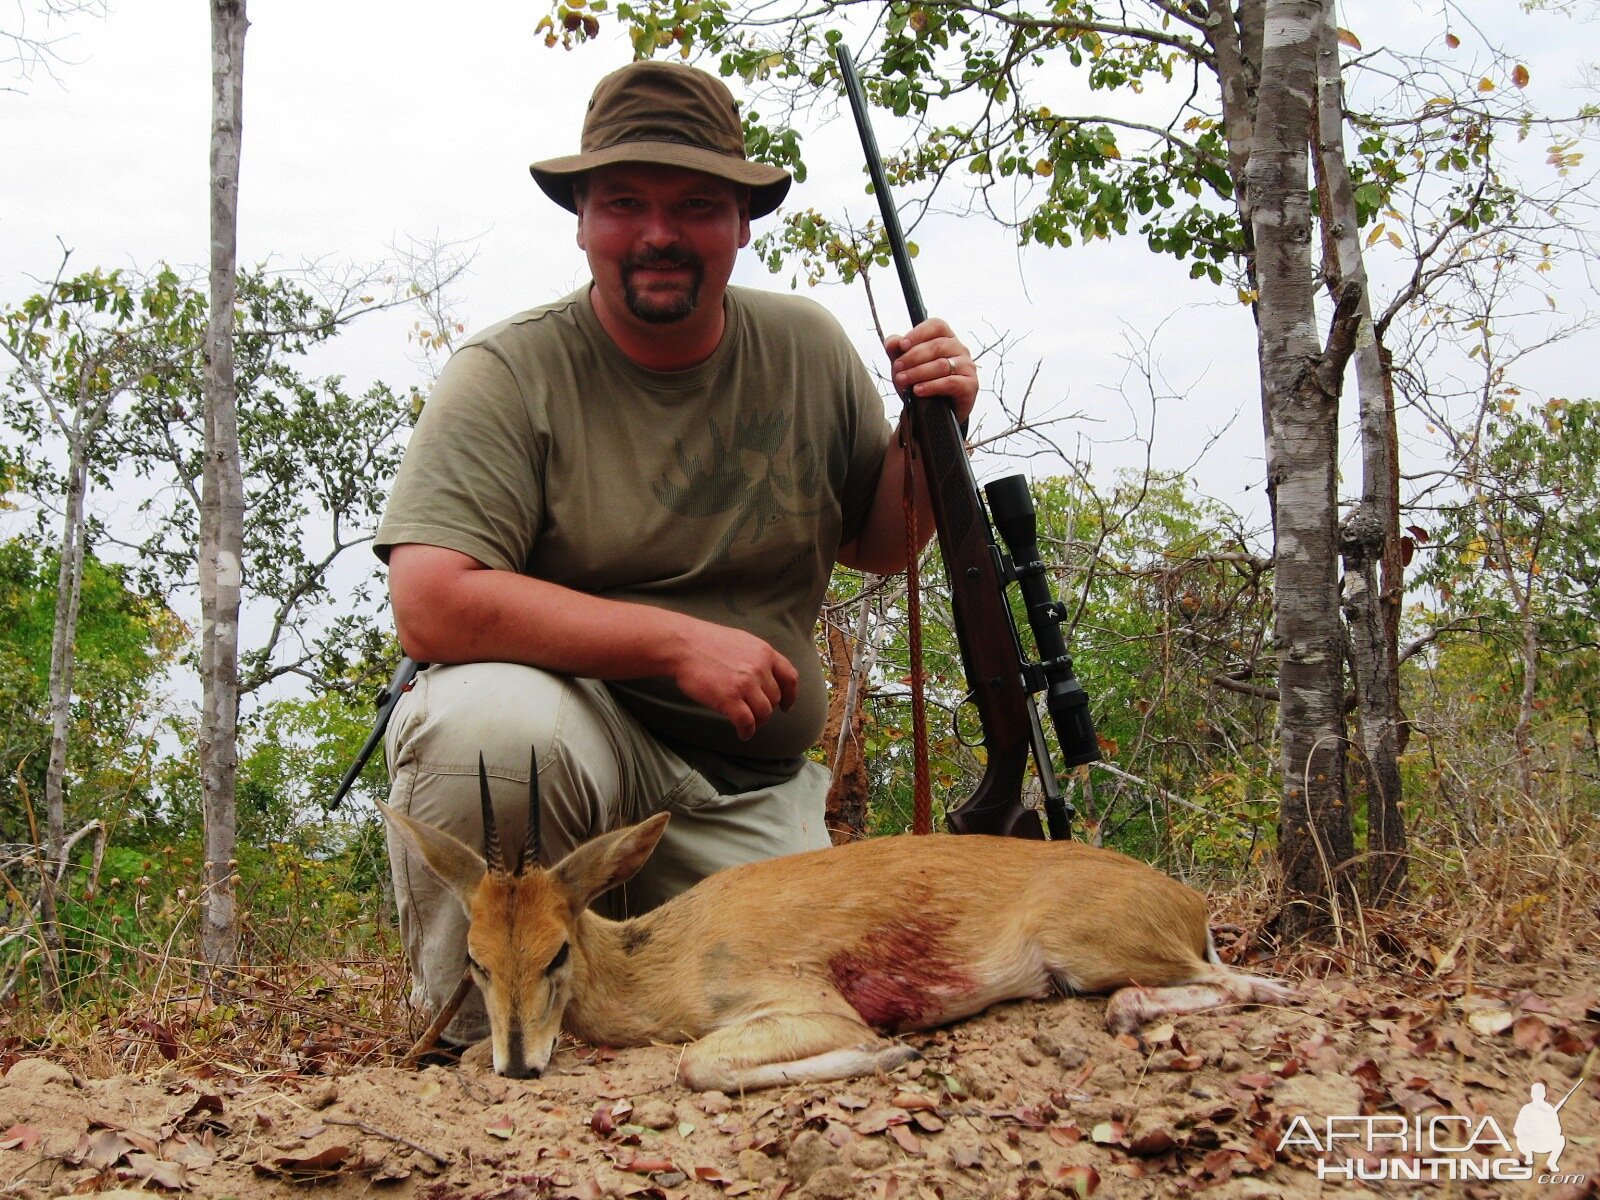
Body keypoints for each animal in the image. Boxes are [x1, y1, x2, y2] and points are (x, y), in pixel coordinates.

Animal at [380, 755, 1292, 1094]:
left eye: (557, 951)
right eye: (475, 959)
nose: (518, 1064)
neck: (663, 959)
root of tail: (1188, 903)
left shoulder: (804, 1002)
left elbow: (699, 1064)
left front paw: (893, 1050)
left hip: (1094, 945)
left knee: (1256, 982)